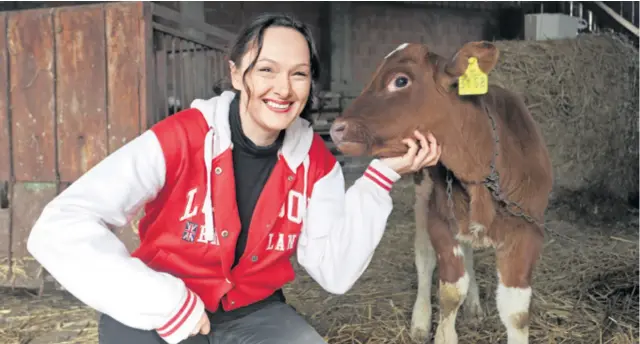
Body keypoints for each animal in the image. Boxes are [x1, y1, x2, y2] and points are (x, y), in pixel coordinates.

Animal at [330, 41, 556, 344]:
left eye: (400, 80)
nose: (337, 129)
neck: (479, 171)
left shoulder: (527, 231)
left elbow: (516, 312)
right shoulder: (440, 222)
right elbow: (450, 291)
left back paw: (473, 306)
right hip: (423, 194)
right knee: (424, 257)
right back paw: (420, 320)